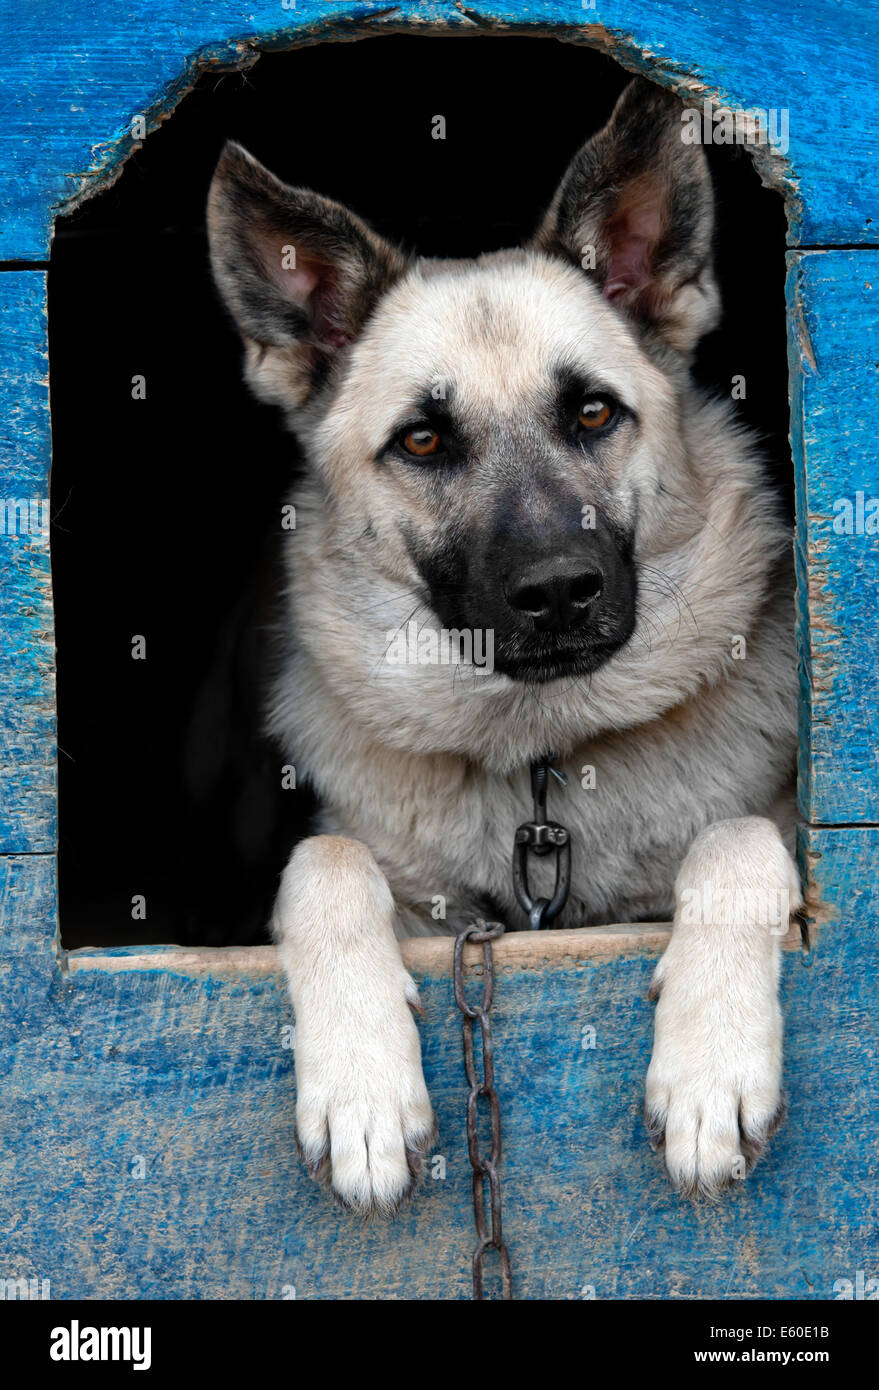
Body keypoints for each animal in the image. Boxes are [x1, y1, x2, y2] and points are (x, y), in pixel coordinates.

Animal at [207, 76, 801, 1212]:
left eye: (594, 414)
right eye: (423, 440)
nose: (559, 593)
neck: (540, 769)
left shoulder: (754, 831)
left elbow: (741, 839)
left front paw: (710, 1066)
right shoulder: (373, 874)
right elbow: (325, 860)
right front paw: (363, 1087)